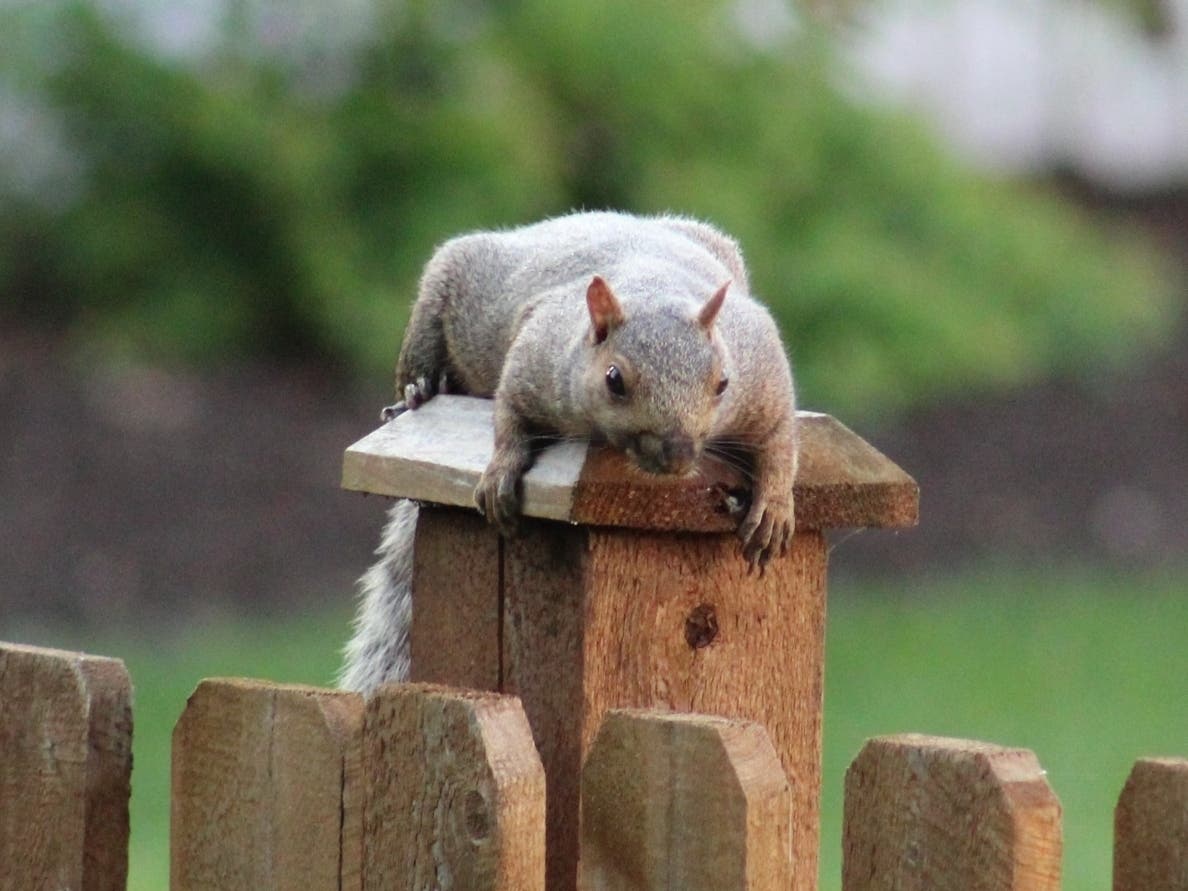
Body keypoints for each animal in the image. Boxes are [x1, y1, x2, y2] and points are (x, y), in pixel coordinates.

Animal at [339, 211, 797, 693]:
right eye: (614, 380)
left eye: (723, 382)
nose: (676, 454)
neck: (654, 285)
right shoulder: (537, 355)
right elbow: (510, 414)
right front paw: (500, 473)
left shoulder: (761, 368)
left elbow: (779, 440)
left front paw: (773, 507)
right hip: (449, 289)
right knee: (421, 352)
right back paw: (421, 389)